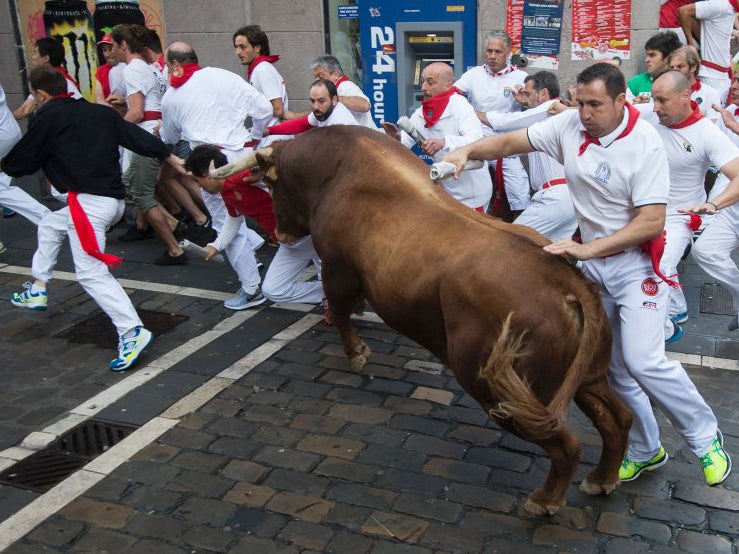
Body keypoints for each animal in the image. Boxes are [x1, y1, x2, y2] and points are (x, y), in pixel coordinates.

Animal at [215, 125, 636, 512]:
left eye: (272, 186)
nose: (281, 233)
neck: (336, 171)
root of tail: (567, 281)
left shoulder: (336, 267)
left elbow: (338, 307)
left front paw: (356, 353)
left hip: (498, 389)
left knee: (567, 445)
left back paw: (545, 501)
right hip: (584, 378)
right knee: (618, 419)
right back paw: (602, 479)